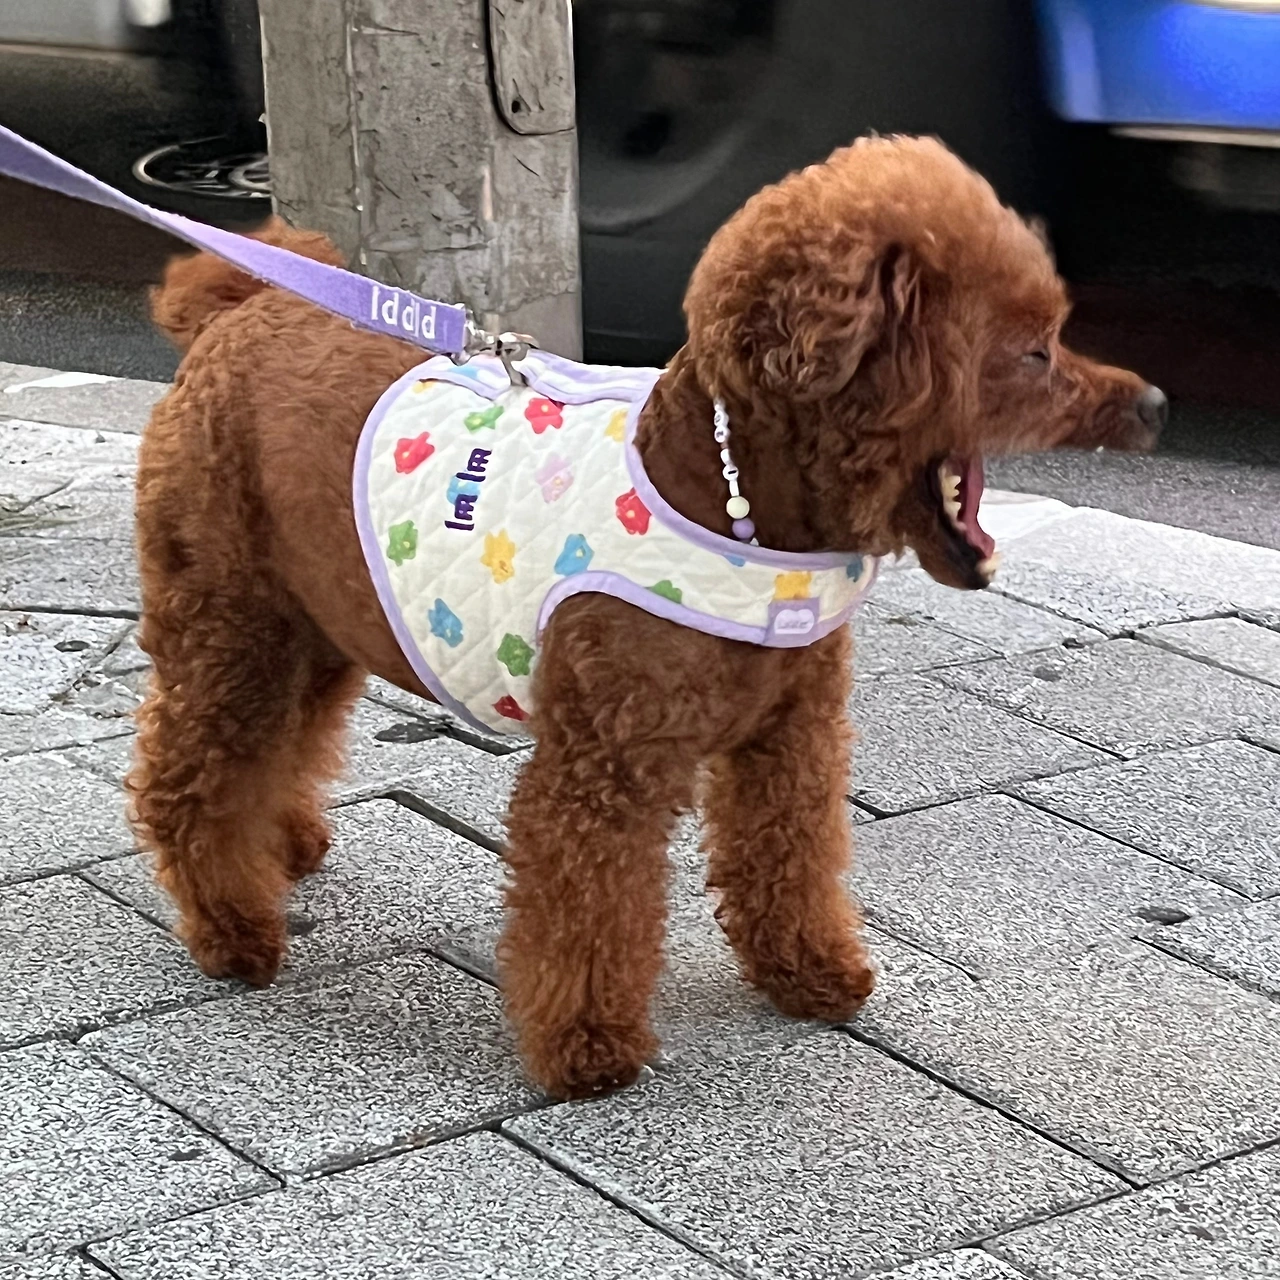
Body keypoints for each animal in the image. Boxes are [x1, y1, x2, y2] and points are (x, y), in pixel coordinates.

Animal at [128, 135, 1164, 1098]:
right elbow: (592, 906)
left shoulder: (791, 737)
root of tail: (234, 307)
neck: (729, 499)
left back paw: (280, 845)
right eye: (1033, 348)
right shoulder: (605, 765)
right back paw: (232, 927)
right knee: (189, 770)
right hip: (228, 611)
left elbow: (788, 856)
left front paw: (809, 973)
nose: (1154, 404)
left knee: (286, 736)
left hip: (314, 615)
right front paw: (589, 1047)